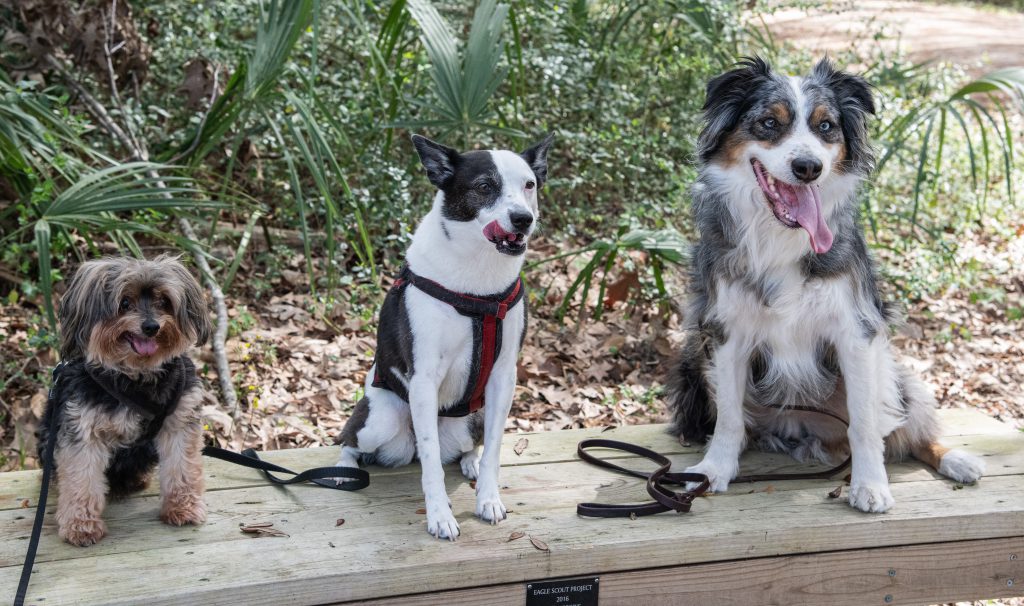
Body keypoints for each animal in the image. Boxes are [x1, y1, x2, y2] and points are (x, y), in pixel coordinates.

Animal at [36, 255, 211, 544]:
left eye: (163, 301)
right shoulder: (82, 429)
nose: (151, 327)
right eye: (125, 302)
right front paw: (80, 525)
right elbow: (81, 478)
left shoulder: (180, 420)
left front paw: (182, 507)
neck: (135, 377)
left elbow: (182, 467)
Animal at [335, 134, 552, 540]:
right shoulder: (423, 379)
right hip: (380, 419)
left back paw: (470, 460)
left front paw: (488, 498)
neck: (478, 282)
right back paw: (345, 469)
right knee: (350, 441)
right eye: (484, 187)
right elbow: (432, 463)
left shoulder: (504, 377)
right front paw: (439, 515)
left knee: (468, 445)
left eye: (529, 185)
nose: (523, 219)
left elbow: (494, 450)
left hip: (473, 419)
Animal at [667, 56, 987, 511]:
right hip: (695, 353)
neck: (780, 236)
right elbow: (729, 417)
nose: (808, 168)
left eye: (826, 126)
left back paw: (955, 460)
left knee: (906, 429)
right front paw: (714, 470)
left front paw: (870, 485)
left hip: (893, 375)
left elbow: (866, 425)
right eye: (769, 123)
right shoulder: (727, 332)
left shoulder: (856, 331)